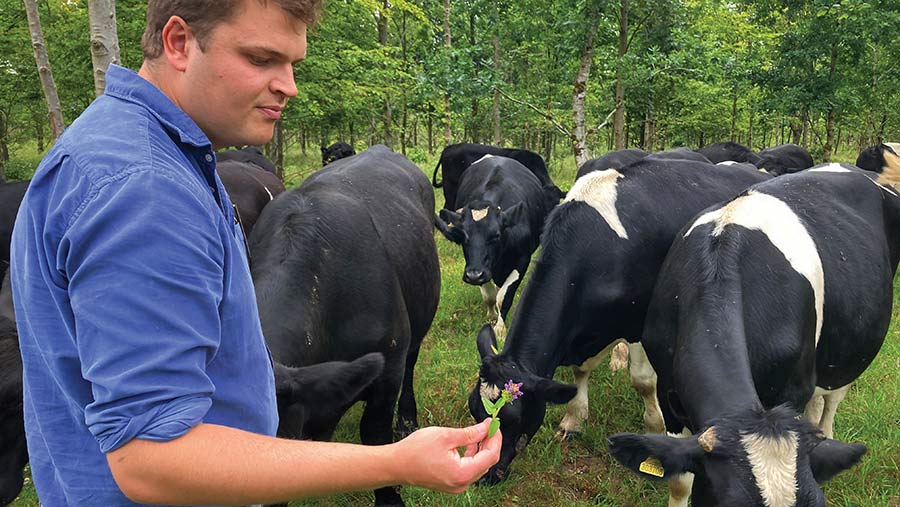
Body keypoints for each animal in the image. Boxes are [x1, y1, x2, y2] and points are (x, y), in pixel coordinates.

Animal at [432, 155, 552, 338]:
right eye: (463, 236)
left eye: (496, 235)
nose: (473, 276)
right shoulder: (479, 265)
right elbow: (489, 296)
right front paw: (491, 317)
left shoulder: (522, 259)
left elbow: (503, 297)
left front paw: (500, 330)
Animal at [468, 159, 768, 484]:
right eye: (475, 411)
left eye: (513, 418)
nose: (484, 476)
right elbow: (580, 371)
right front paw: (574, 419)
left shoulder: (638, 322)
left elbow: (643, 382)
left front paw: (654, 428)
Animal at [604, 165, 884, 506]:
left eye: (817, 504)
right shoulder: (669, 390)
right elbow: (680, 481)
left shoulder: (794, 389)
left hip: (845, 358)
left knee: (831, 401)